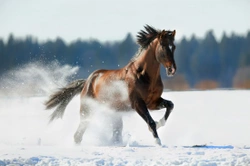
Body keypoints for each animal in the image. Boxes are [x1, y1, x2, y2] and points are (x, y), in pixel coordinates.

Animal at [44, 25, 176, 146]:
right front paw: (157, 141)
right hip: (87, 110)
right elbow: (151, 121)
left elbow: (170, 105)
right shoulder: (138, 103)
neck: (143, 75)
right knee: (78, 134)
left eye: (173, 47)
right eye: (163, 46)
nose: (172, 70)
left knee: (114, 133)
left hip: (114, 113)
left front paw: (160, 124)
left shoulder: (152, 102)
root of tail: (87, 81)